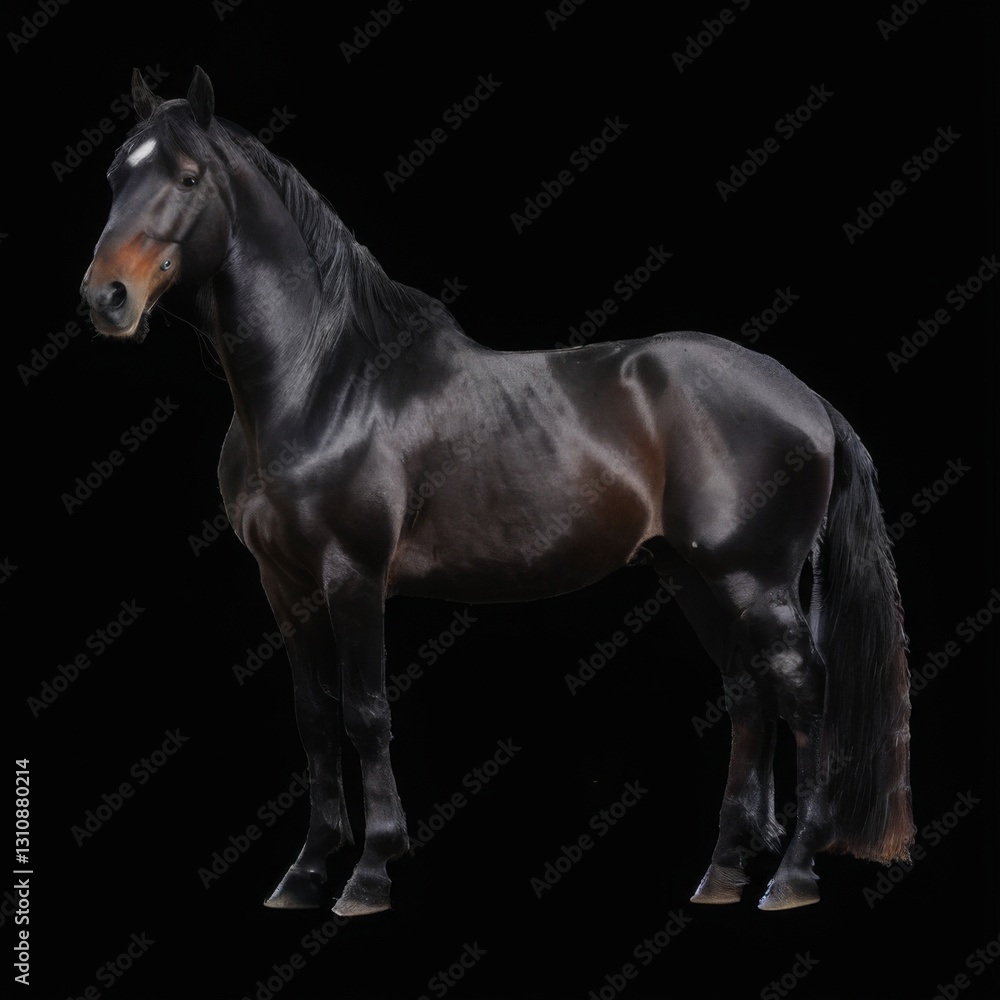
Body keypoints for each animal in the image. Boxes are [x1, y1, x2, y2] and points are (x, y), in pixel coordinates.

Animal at [80, 67, 914, 916]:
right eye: (115, 176)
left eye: (187, 177)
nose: (105, 297)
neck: (324, 382)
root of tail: (806, 398)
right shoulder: (284, 584)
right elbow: (314, 718)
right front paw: (305, 872)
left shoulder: (353, 575)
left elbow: (367, 714)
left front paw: (370, 873)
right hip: (691, 573)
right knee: (749, 695)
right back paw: (723, 871)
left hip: (755, 579)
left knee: (805, 693)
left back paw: (793, 874)